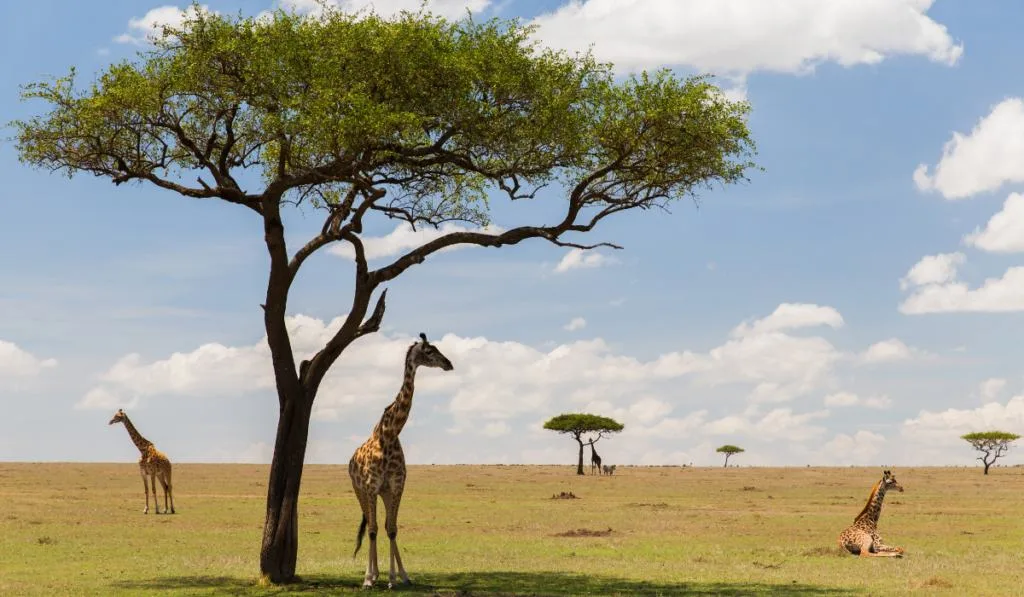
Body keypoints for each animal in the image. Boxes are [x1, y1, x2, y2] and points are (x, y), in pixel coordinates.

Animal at [348, 333, 452, 589]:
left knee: (385, 526)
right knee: (372, 526)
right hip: (360, 490)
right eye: (429, 351)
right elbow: (373, 529)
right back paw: (373, 574)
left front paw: (397, 577)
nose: (449, 364)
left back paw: (388, 575)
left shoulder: (396, 485)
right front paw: (368, 579)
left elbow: (392, 529)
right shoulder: (371, 486)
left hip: (384, 492)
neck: (389, 433)